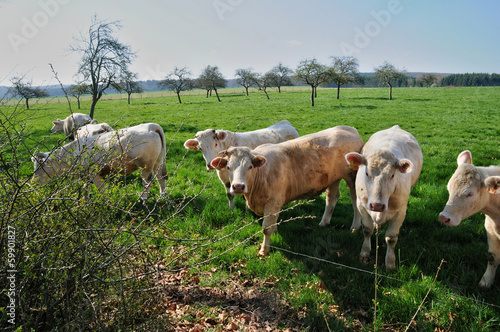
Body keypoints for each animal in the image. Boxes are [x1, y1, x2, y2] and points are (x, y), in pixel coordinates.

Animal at [32, 122, 167, 200]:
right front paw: (85, 201)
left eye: (40, 166)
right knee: (160, 178)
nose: (33, 183)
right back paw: (162, 197)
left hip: (145, 166)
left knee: (147, 181)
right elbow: (86, 189)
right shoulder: (84, 176)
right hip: (158, 162)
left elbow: (102, 189)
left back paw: (143, 199)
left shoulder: (94, 175)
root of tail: (151, 126)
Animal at [210, 126, 364, 255]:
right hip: (333, 178)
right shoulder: (276, 202)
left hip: (352, 177)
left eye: (250, 167)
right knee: (332, 198)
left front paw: (264, 250)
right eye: (228, 167)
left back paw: (355, 226)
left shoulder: (273, 202)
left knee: (355, 200)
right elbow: (274, 222)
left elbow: (266, 228)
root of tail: (347, 128)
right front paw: (275, 233)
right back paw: (324, 222)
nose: (238, 186)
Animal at [344, 126, 422, 272]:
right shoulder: (361, 205)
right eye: (366, 173)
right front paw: (364, 253)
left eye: (392, 175)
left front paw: (390, 263)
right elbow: (367, 229)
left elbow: (391, 238)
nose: (377, 205)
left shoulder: (401, 211)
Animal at [438, 151, 500, 288]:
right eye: (449, 188)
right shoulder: (490, 231)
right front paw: (486, 281)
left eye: (470, 194)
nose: (443, 217)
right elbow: (493, 257)